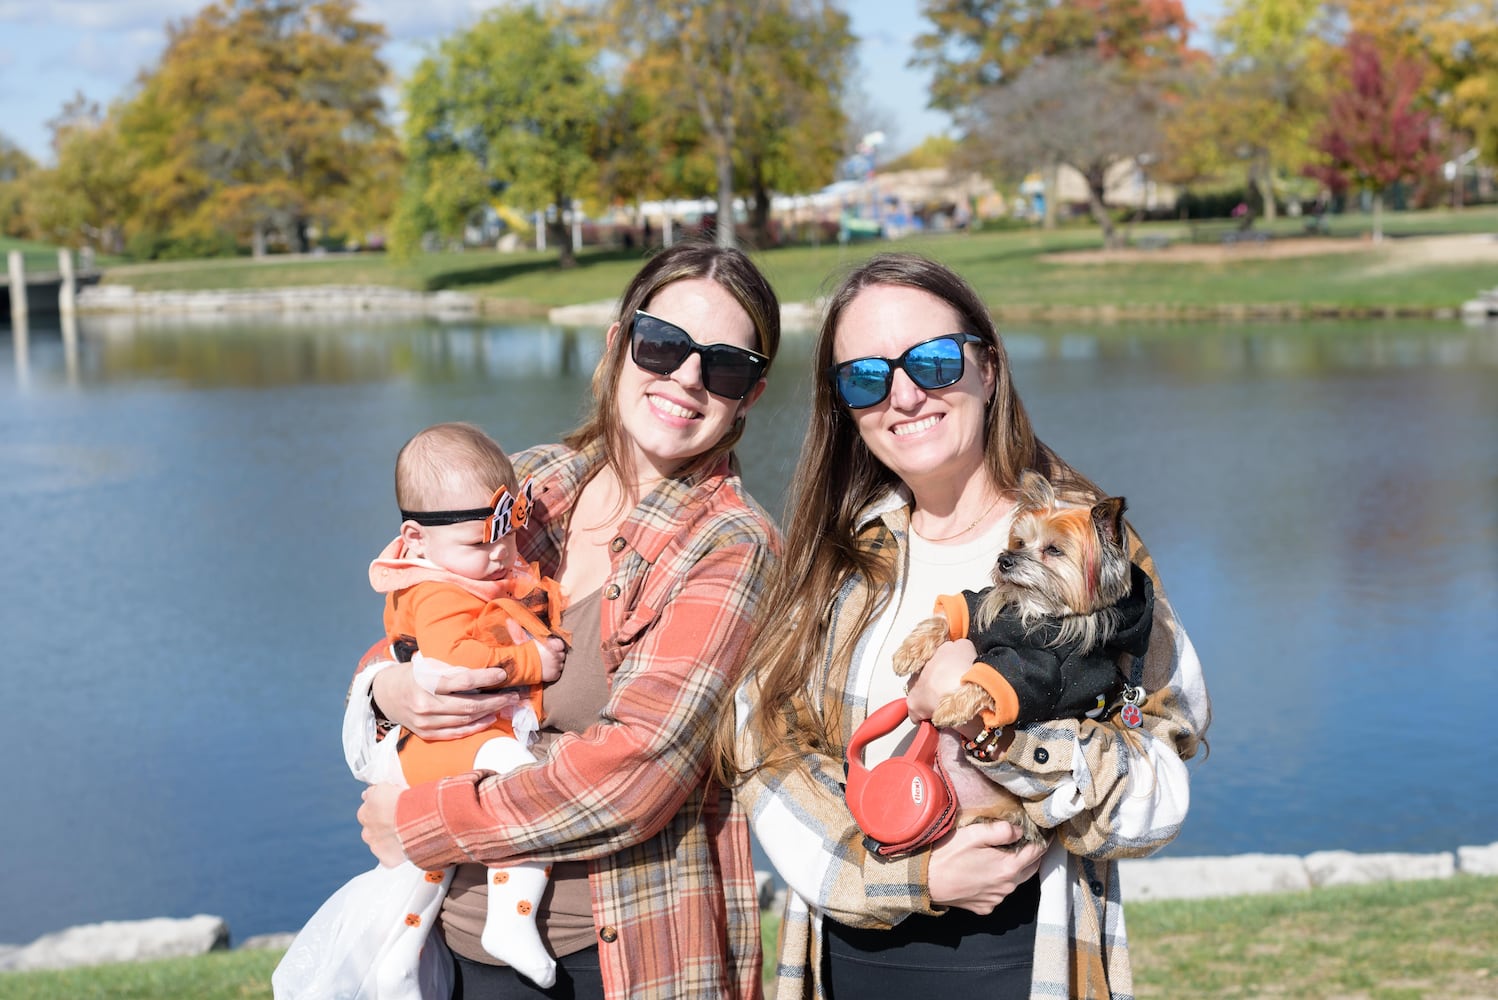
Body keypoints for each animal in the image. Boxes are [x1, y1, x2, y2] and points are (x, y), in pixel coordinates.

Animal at [886, 470, 1156, 844]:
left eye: (1053, 550)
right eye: (1019, 543)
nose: (1005, 560)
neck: (1034, 612)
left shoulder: (1042, 674)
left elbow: (998, 679)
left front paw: (953, 705)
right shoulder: (982, 610)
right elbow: (953, 614)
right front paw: (909, 650)